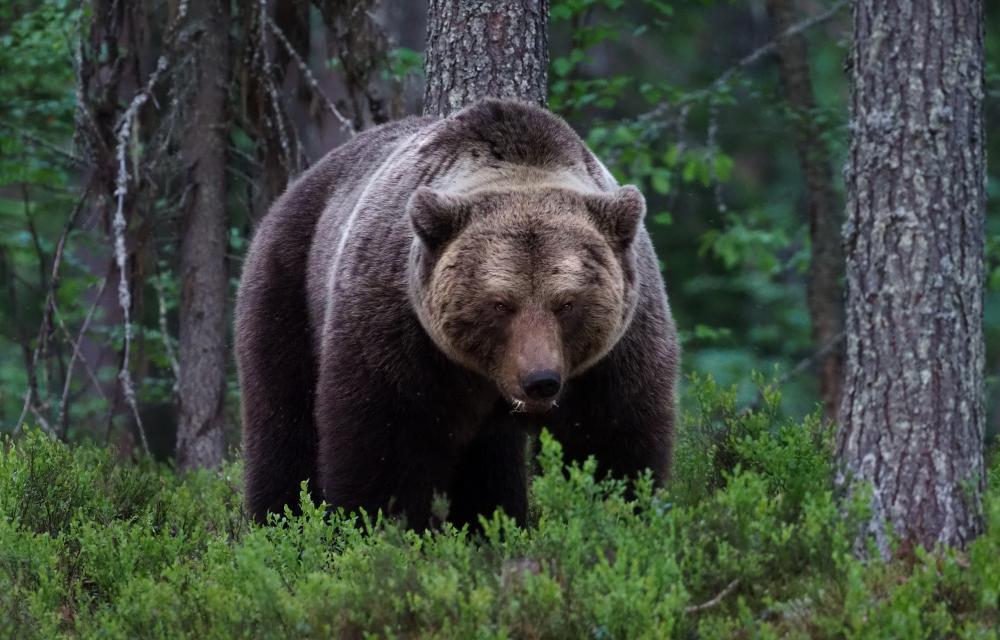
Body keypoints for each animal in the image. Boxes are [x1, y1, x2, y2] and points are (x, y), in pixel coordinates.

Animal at [236, 100, 680, 528]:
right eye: (500, 304)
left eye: (567, 303)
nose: (540, 381)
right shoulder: (401, 333)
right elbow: (384, 445)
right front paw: (375, 527)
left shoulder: (615, 352)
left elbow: (614, 441)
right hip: (288, 283)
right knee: (283, 421)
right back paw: (278, 520)